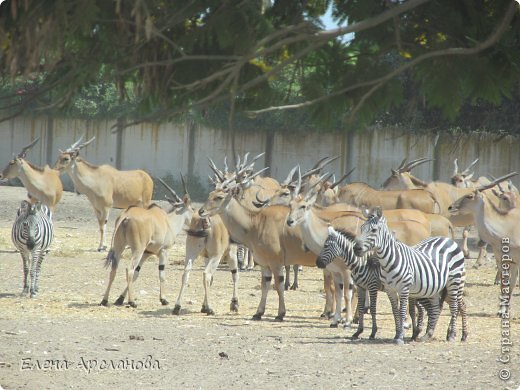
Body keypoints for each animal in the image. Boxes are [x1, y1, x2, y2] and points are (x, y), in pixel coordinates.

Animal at [100, 177, 193, 308]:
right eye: (193, 208)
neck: (168, 221)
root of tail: (126, 215)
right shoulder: (164, 251)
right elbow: (161, 274)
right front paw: (163, 299)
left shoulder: (147, 253)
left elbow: (137, 274)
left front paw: (120, 299)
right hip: (137, 250)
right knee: (129, 269)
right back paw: (132, 302)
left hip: (120, 248)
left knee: (114, 270)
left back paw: (104, 300)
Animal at [354, 207, 468, 344]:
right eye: (361, 228)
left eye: (374, 230)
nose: (356, 248)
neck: (389, 261)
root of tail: (448, 239)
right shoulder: (390, 290)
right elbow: (395, 311)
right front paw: (397, 334)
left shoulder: (404, 289)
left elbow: (403, 311)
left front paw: (400, 337)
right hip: (436, 287)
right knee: (436, 308)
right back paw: (427, 335)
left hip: (454, 280)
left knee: (454, 306)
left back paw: (452, 335)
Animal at [446, 174, 520, 316]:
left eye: (469, 196)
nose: (450, 207)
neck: (507, 228)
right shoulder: (507, 261)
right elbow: (507, 284)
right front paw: (502, 310)